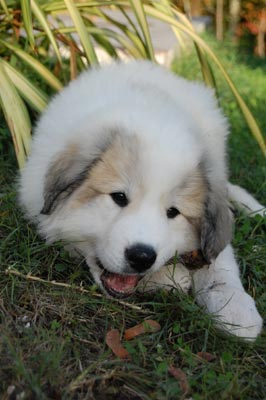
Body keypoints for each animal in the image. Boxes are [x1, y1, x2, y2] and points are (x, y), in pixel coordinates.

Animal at [19, 60, 264, 340]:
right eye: (119, 197)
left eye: (173, 212)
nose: (142, 257)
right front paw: (174, 277)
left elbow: (219, 259)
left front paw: (234, 307)